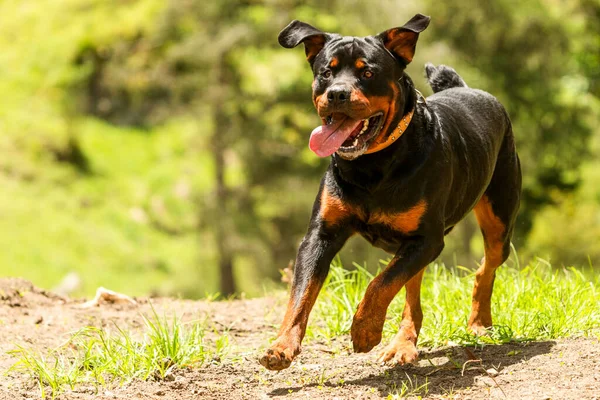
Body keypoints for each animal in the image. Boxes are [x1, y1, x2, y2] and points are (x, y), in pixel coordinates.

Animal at [260, 14, 524, 370]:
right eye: (326, 72)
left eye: (368, 73)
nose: (337, 94)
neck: (372, 164)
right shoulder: (320, 235)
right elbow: (301, 295)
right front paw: (282, 346)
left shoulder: (426, 239)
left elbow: (380, 283)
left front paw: (365, 331)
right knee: (413, 291)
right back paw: (404, 344)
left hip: (499, 218)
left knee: (486, 267)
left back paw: (479, 322)